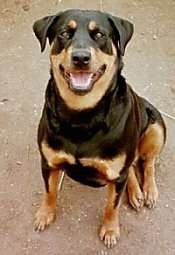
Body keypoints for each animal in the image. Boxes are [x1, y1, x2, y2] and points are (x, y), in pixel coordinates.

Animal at [32, 8, 165, 248]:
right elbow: (49, 192)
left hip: (156, 125)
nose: (81, 57)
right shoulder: (48, 162)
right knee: (132, 166)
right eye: (64, 33)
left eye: (100, 35)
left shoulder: (117, 174)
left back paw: (148, 191)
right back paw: (136, 193)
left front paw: (110, 230)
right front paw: (44, 214)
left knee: (147, 162)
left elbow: (112, 206)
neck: (81, 115)